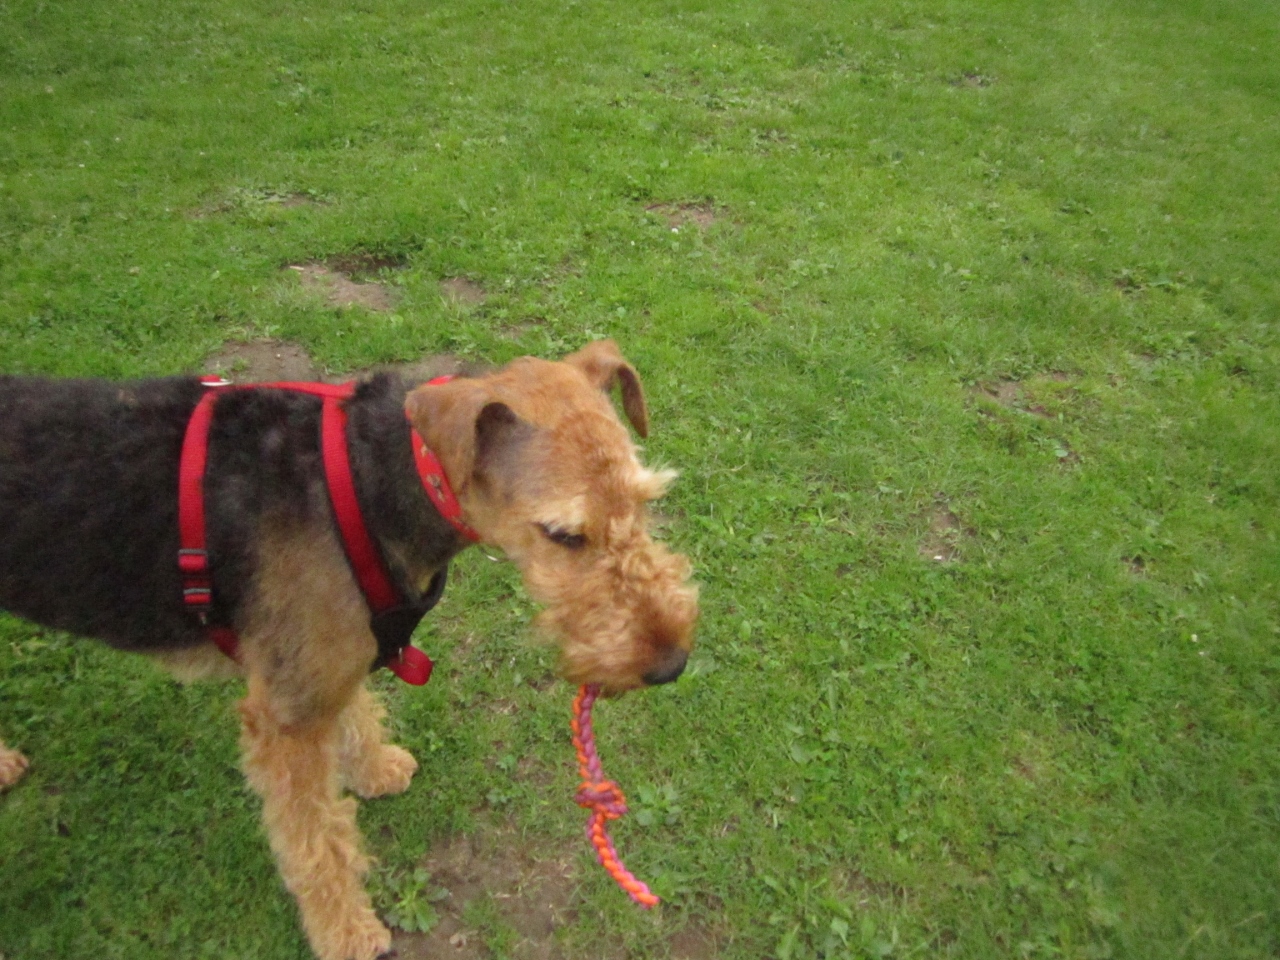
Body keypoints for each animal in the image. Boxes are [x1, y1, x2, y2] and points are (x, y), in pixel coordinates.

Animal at [0, 340, 698, 960]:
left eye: (644, 502)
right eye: (563, 534)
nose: (672, 663)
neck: (368, 483)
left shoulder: (342, 651)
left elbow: (356, 714)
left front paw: (377, 767)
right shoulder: (287, 713)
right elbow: (318, 842)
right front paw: (348, 933)